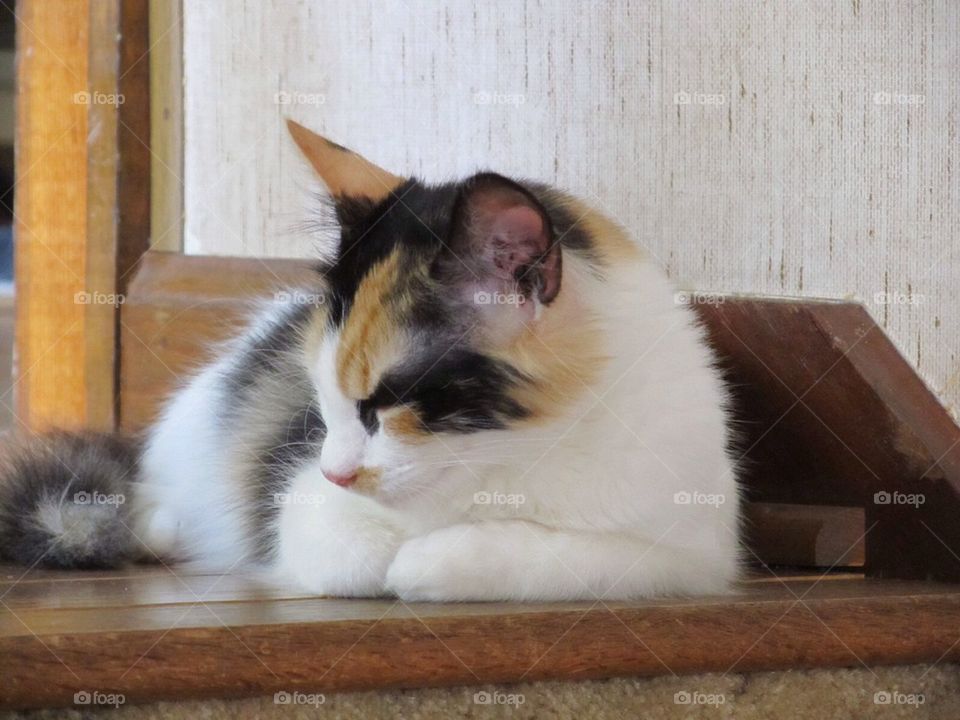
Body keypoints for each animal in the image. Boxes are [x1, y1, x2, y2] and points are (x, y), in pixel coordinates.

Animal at [0, 122, 744, 600]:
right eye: (325, 405)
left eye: (381, 404)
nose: (338, 472)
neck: (516, 452)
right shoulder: (301, 499)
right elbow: (342, 548)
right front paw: (392, 554)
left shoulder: (693, 553)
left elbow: (551, 555)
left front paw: (432, 560)